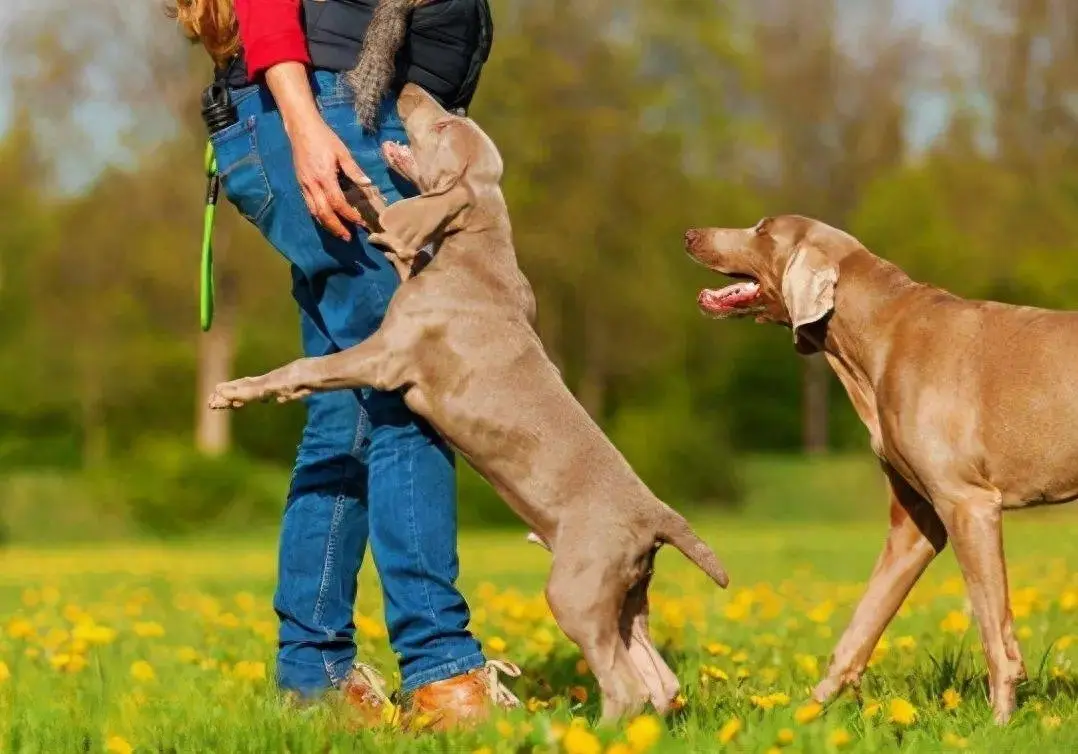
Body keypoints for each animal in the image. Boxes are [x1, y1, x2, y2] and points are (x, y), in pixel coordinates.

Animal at [208, 84, 733, 724]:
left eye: (439, 127)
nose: (409, 88)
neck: (478, 247)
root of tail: (656, 514)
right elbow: (391, 224)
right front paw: (354, 187)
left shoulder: (385, 357)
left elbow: (308, 368)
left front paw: (237, 391)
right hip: (626, 592)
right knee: (658, 680)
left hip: (578, 588)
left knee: (627, 684)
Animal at [681, 215, 1078, 720]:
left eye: (763, 230)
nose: (689, 234)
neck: (877, 334)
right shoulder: (916, 524)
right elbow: (858, 631)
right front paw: (802, 717)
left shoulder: (968, 504)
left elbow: (994, 632)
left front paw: (1000, 722)